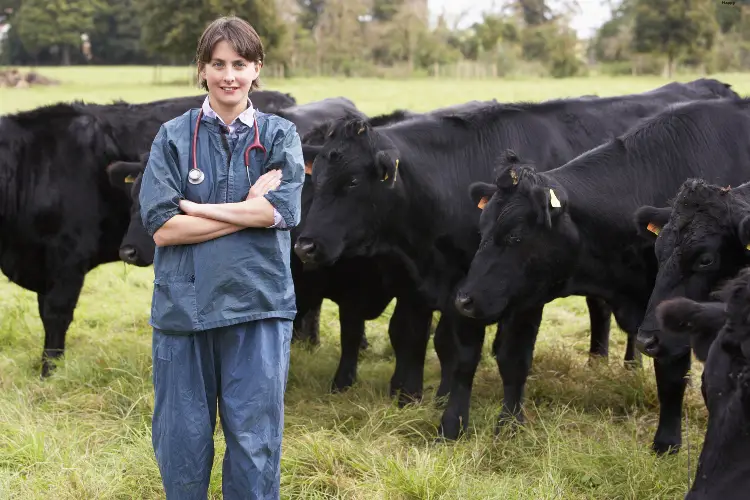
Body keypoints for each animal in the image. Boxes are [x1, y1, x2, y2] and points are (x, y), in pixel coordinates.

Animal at [296, 80, 740, 432]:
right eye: (315, 178)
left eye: (353, 181)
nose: (304, 245)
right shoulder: (441, 290)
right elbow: (431, 344)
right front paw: (424, 405)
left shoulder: (514, 295)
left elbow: (506, 356)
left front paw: (504, 423)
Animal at [452, 94, 750, 458]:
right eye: (482, 229)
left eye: (515, 236)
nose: (464, 299)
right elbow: (514, 358)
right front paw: (508, 427)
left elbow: (671, 375)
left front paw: (666, 444)